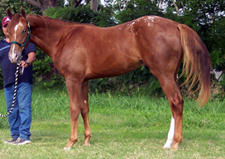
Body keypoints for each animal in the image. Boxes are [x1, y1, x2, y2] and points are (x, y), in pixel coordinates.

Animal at [6, 8, 211, 150]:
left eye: (23, 30)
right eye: (7, 31)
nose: (14, 57)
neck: (64, 37)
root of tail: (176, 25)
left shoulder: (72, 80)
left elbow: (73, 110)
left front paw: (71, 142)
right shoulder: (84, 81)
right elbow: (84, 109)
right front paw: (86, 140)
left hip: (163, 75)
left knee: (176, 102)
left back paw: (175, 143)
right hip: (171, 75)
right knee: (175, 105)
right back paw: (169, 142)